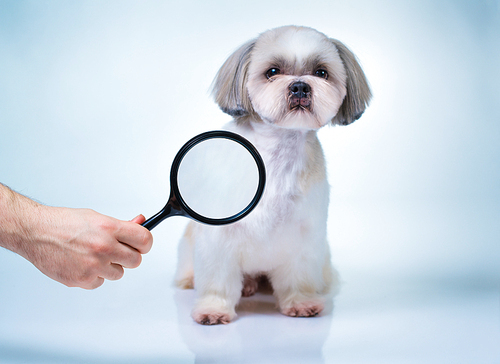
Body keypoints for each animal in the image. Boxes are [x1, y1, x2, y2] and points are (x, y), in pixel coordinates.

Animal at [174, 24, 370, 324]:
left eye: (321, 72)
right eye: (272, 72)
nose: (300, 85)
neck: (277, 155)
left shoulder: (304, 235)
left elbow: (299, 276)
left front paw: (301, 302)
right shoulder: (219, 238)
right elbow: (217, 278)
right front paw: (213, 308)